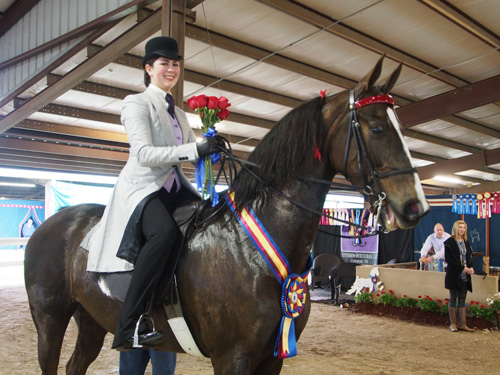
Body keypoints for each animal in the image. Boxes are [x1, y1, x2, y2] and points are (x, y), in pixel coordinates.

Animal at [24, 56, 430, 375]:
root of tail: (52, 224)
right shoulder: (232, 357)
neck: (252, 247)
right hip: (50, 320)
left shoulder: (272, 358)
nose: (416, 207)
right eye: (377, 128)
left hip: (92, 319)